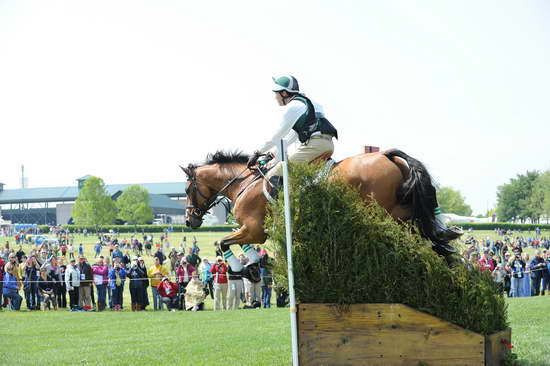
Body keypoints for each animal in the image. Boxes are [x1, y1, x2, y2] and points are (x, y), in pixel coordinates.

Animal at [182, 149, 462, 260]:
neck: (245, 182)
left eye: (186, 189)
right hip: (406, 218)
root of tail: (386, 154)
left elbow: (222, 243)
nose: (189, 220)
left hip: (386, 216)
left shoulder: (254, 231)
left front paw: (249, 268)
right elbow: (226, 243)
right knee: (431, 242)